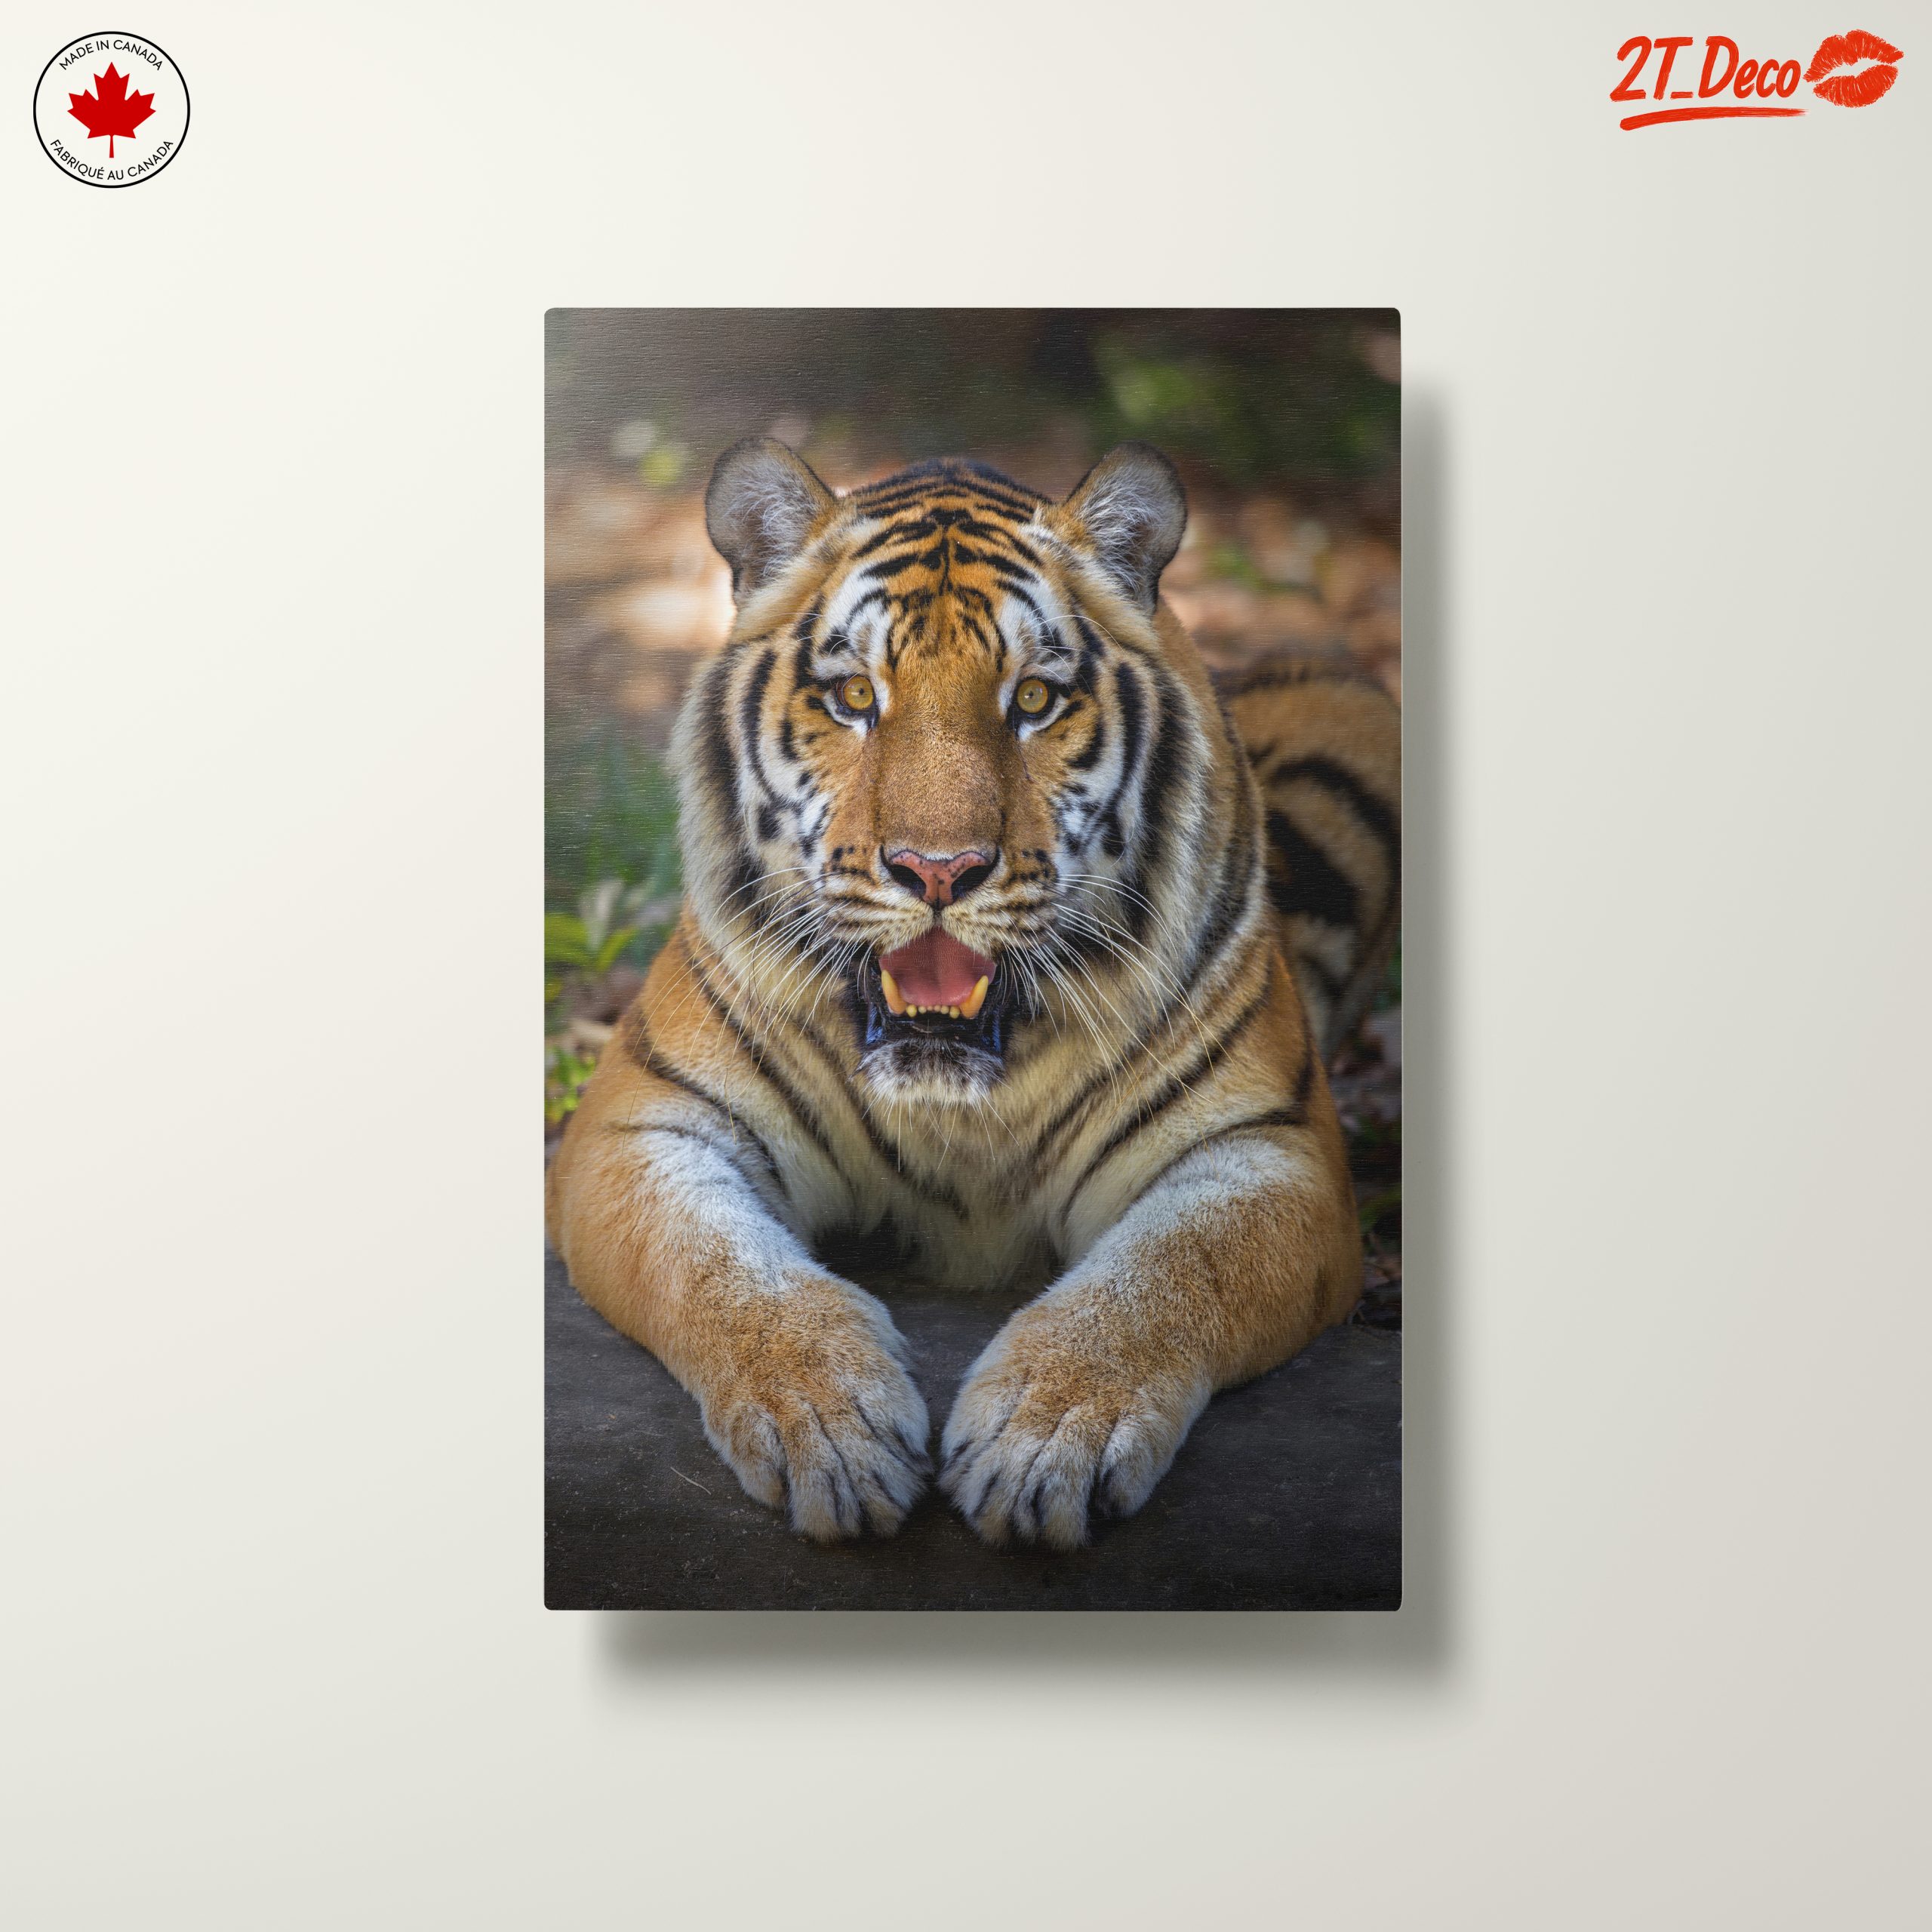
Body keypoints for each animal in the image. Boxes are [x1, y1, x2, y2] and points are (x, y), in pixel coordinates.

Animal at [545, 437, 1400, 1550]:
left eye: (1033, 702)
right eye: (852, 697)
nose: (938, 870)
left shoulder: (1268, 1152)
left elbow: (1165, 1279)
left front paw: (1045, 1439)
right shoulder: (643, 1127)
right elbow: (720, 1270)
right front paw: (831, 1423)